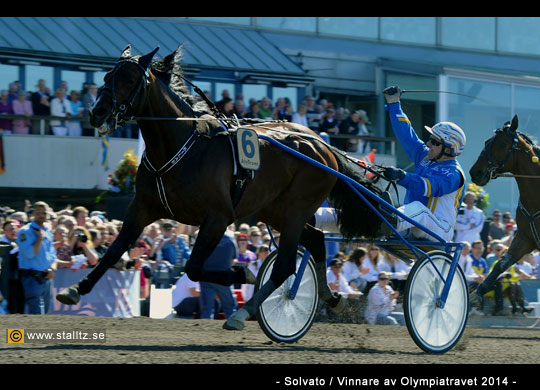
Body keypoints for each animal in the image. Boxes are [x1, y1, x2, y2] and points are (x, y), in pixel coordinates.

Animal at [56, 45, 384, 330]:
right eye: (107, 76)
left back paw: (244, 312)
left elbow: (193, 267)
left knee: (285, 266)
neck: (180, 145)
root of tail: (324, 146)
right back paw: (332, 297)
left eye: (130, 79)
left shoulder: (218, 217)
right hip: (274, 210)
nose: (97, 112)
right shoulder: (142, 208)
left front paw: (243, 272)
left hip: (296, 207)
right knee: (315, 240)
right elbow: (113, 252)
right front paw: (75, 289)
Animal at [468, 114, 540, 300]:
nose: (475, 172)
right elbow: (501, 264)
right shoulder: (525, 237)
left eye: (501, 144)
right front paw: (478, 292)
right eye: (486, 141)